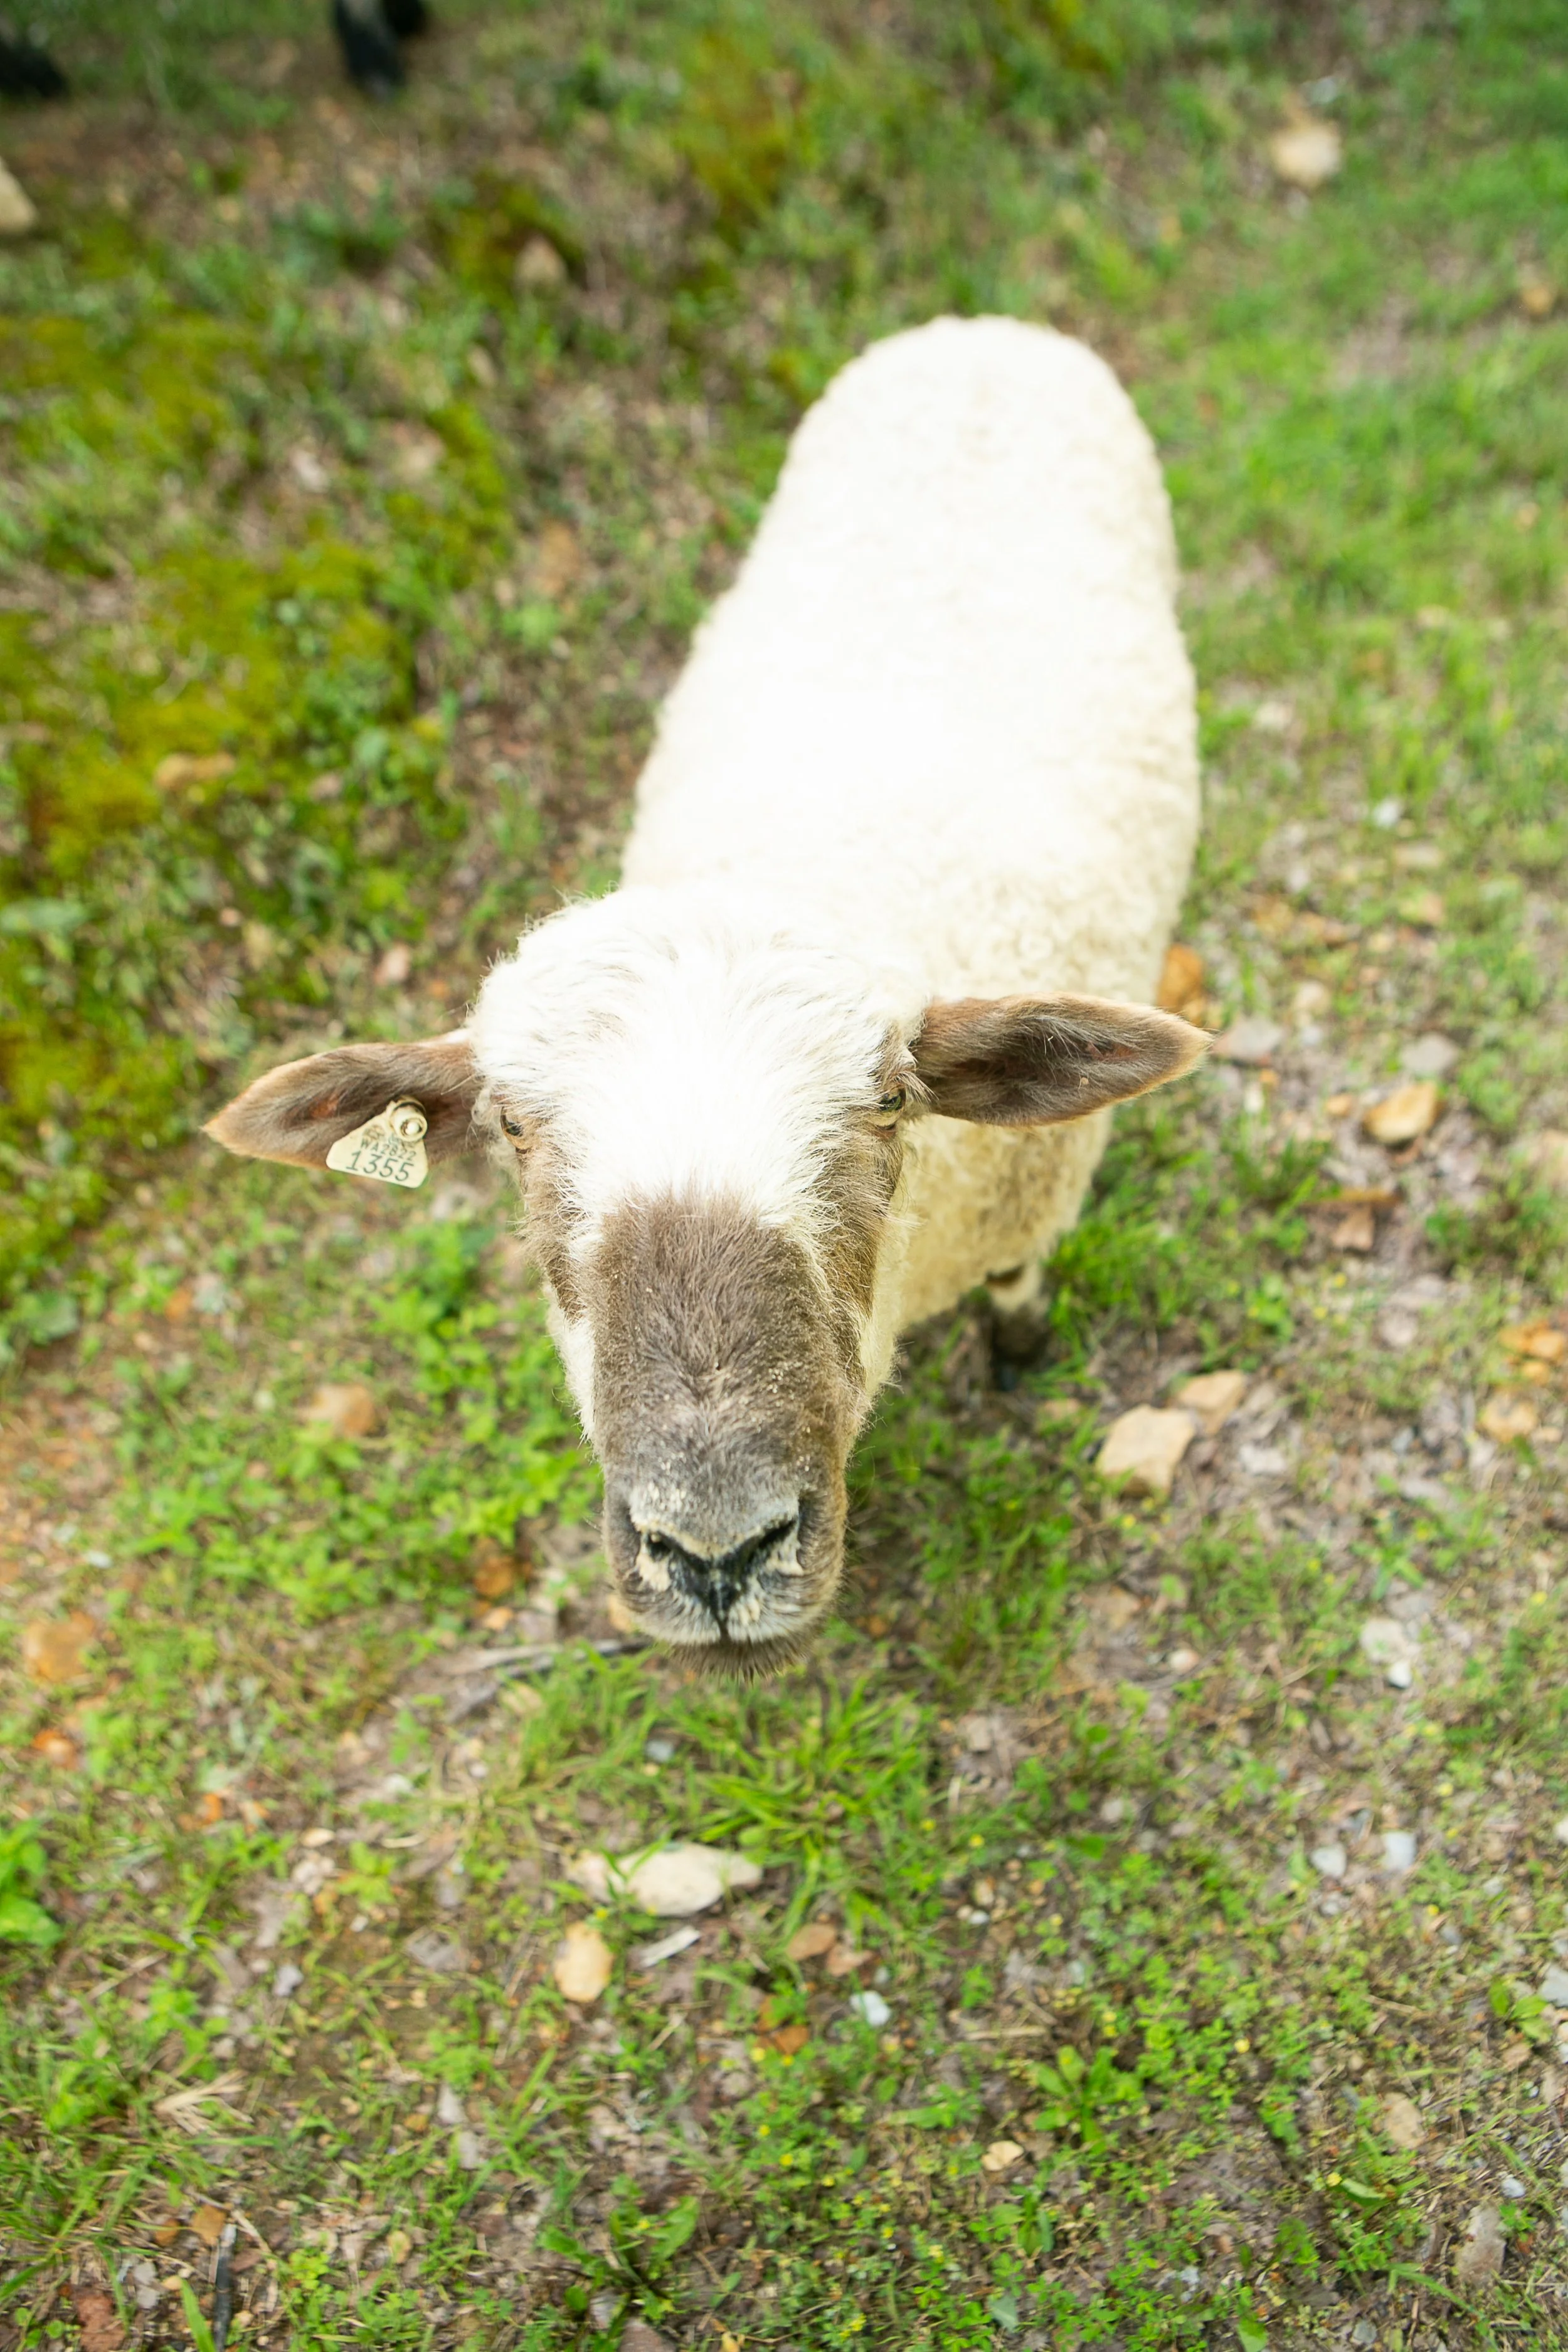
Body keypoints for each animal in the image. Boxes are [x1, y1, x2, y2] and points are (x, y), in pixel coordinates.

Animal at [208, 317, 1204, 1673]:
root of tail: (982, 328)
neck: (809, 850)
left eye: (891, 1101)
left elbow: (1017, 1292)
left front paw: (1016, 1352)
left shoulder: (1027, 1199)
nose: (720, 1551)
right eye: (510, 1126)